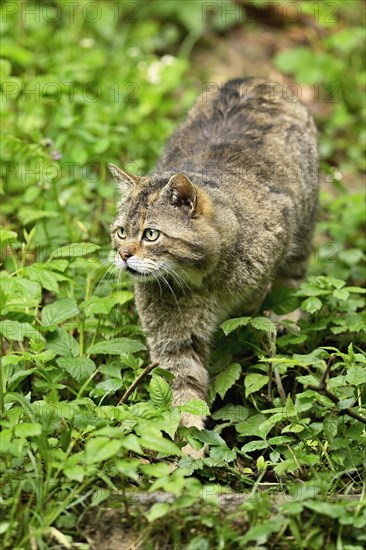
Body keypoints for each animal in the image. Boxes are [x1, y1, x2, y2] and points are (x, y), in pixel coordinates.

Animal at [108, 77, 318, 458]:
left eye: (150, 234)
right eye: (120, 232)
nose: (124, 255)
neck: (199, 279)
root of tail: (256, 79)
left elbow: (247, 321)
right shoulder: (174, 342)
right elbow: (185, 395)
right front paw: (189, 451)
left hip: (303, 226)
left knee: (292, 280)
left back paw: (288, 319)